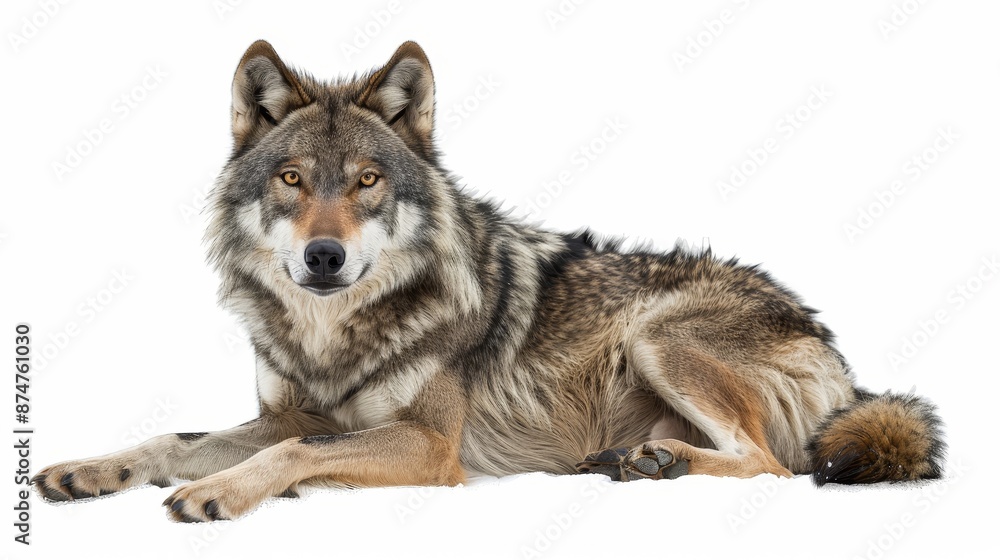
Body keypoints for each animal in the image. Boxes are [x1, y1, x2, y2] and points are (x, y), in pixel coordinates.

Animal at [33, 40, 946, 522]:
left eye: (367, 182)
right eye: (292, 180)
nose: (323, 258)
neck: (337, 333)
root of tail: (837, 354)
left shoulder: (430, 444)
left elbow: (294, 451)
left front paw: (221, 491)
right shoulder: (287, 410)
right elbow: (171, 438)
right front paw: (88, 470)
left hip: (658, 335)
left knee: (772, 465)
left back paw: (657, 463)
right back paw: (635, 461)